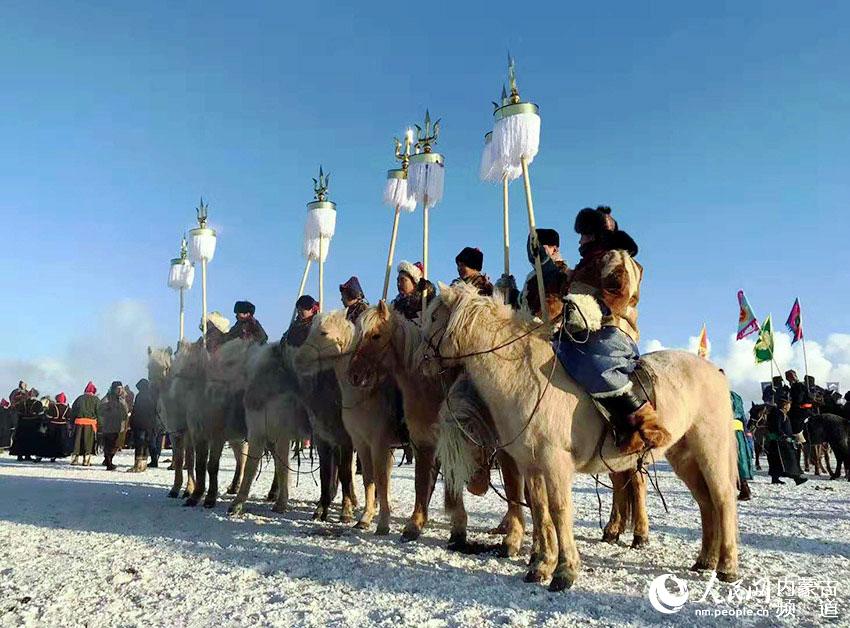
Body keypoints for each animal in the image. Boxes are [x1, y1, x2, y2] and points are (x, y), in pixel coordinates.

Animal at [294, 310, 400, 536]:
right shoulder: (328, 441)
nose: (299, 360)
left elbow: (347, 474)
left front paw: (347, 512)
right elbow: (329, 474)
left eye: (323, 332)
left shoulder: (350, 442)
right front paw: (322, 510)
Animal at [420, 282, 740, 592]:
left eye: (434, 316)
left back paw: (727, 567)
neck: (524, 378)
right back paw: (705, 561)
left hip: (710, 448)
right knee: (705, 502)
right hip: (683, 455)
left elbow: (559, 511)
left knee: (723, 498)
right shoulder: (531, 466)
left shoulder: (554, 462)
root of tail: (716, 372)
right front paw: (541, 566)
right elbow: (540, 510)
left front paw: (564, 571)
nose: (422, 361)